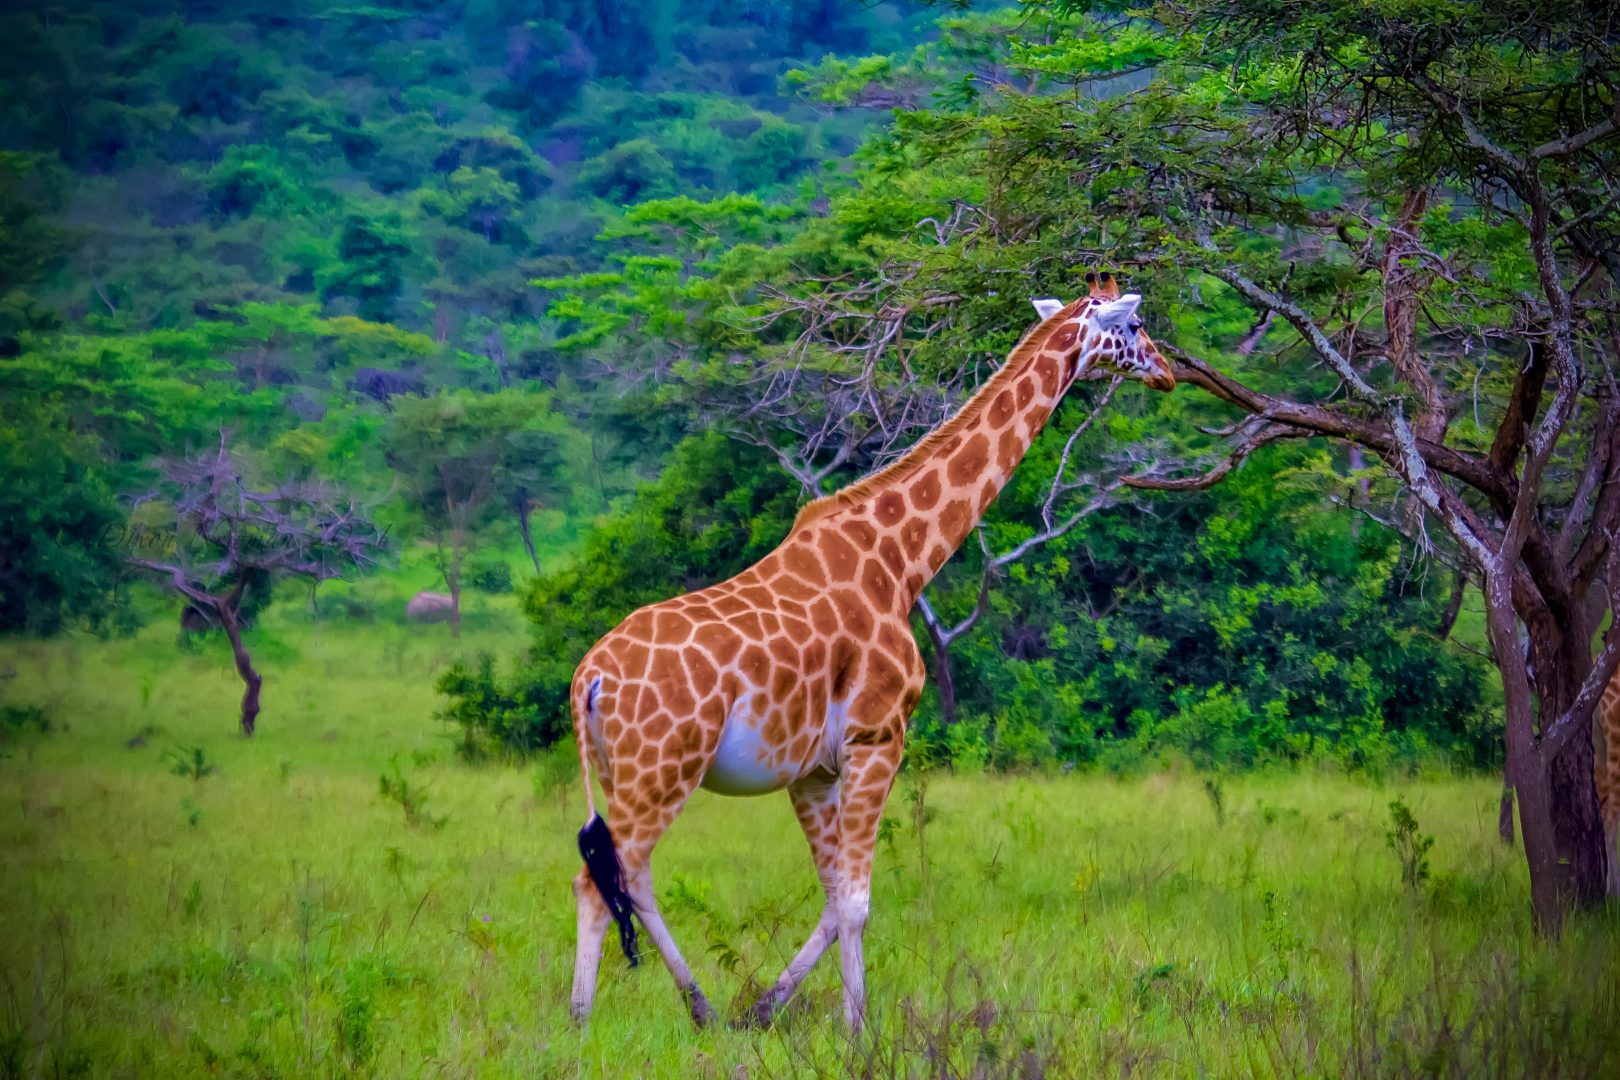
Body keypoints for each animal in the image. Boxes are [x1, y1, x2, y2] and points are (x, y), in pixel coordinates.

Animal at [570, 270, 1179, 1029]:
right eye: (1134, 326)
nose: (1168, 371)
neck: (902, 559)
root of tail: (589, 679)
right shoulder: (878, 736)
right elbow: (857, 902)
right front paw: (859, 1029)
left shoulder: (812, 768)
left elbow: (835, 899)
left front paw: (769, 1009)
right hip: (661, 767)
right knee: (600, 881)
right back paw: (579, 1024)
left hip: (626, 773)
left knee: (629, 876)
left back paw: (702, 1009)